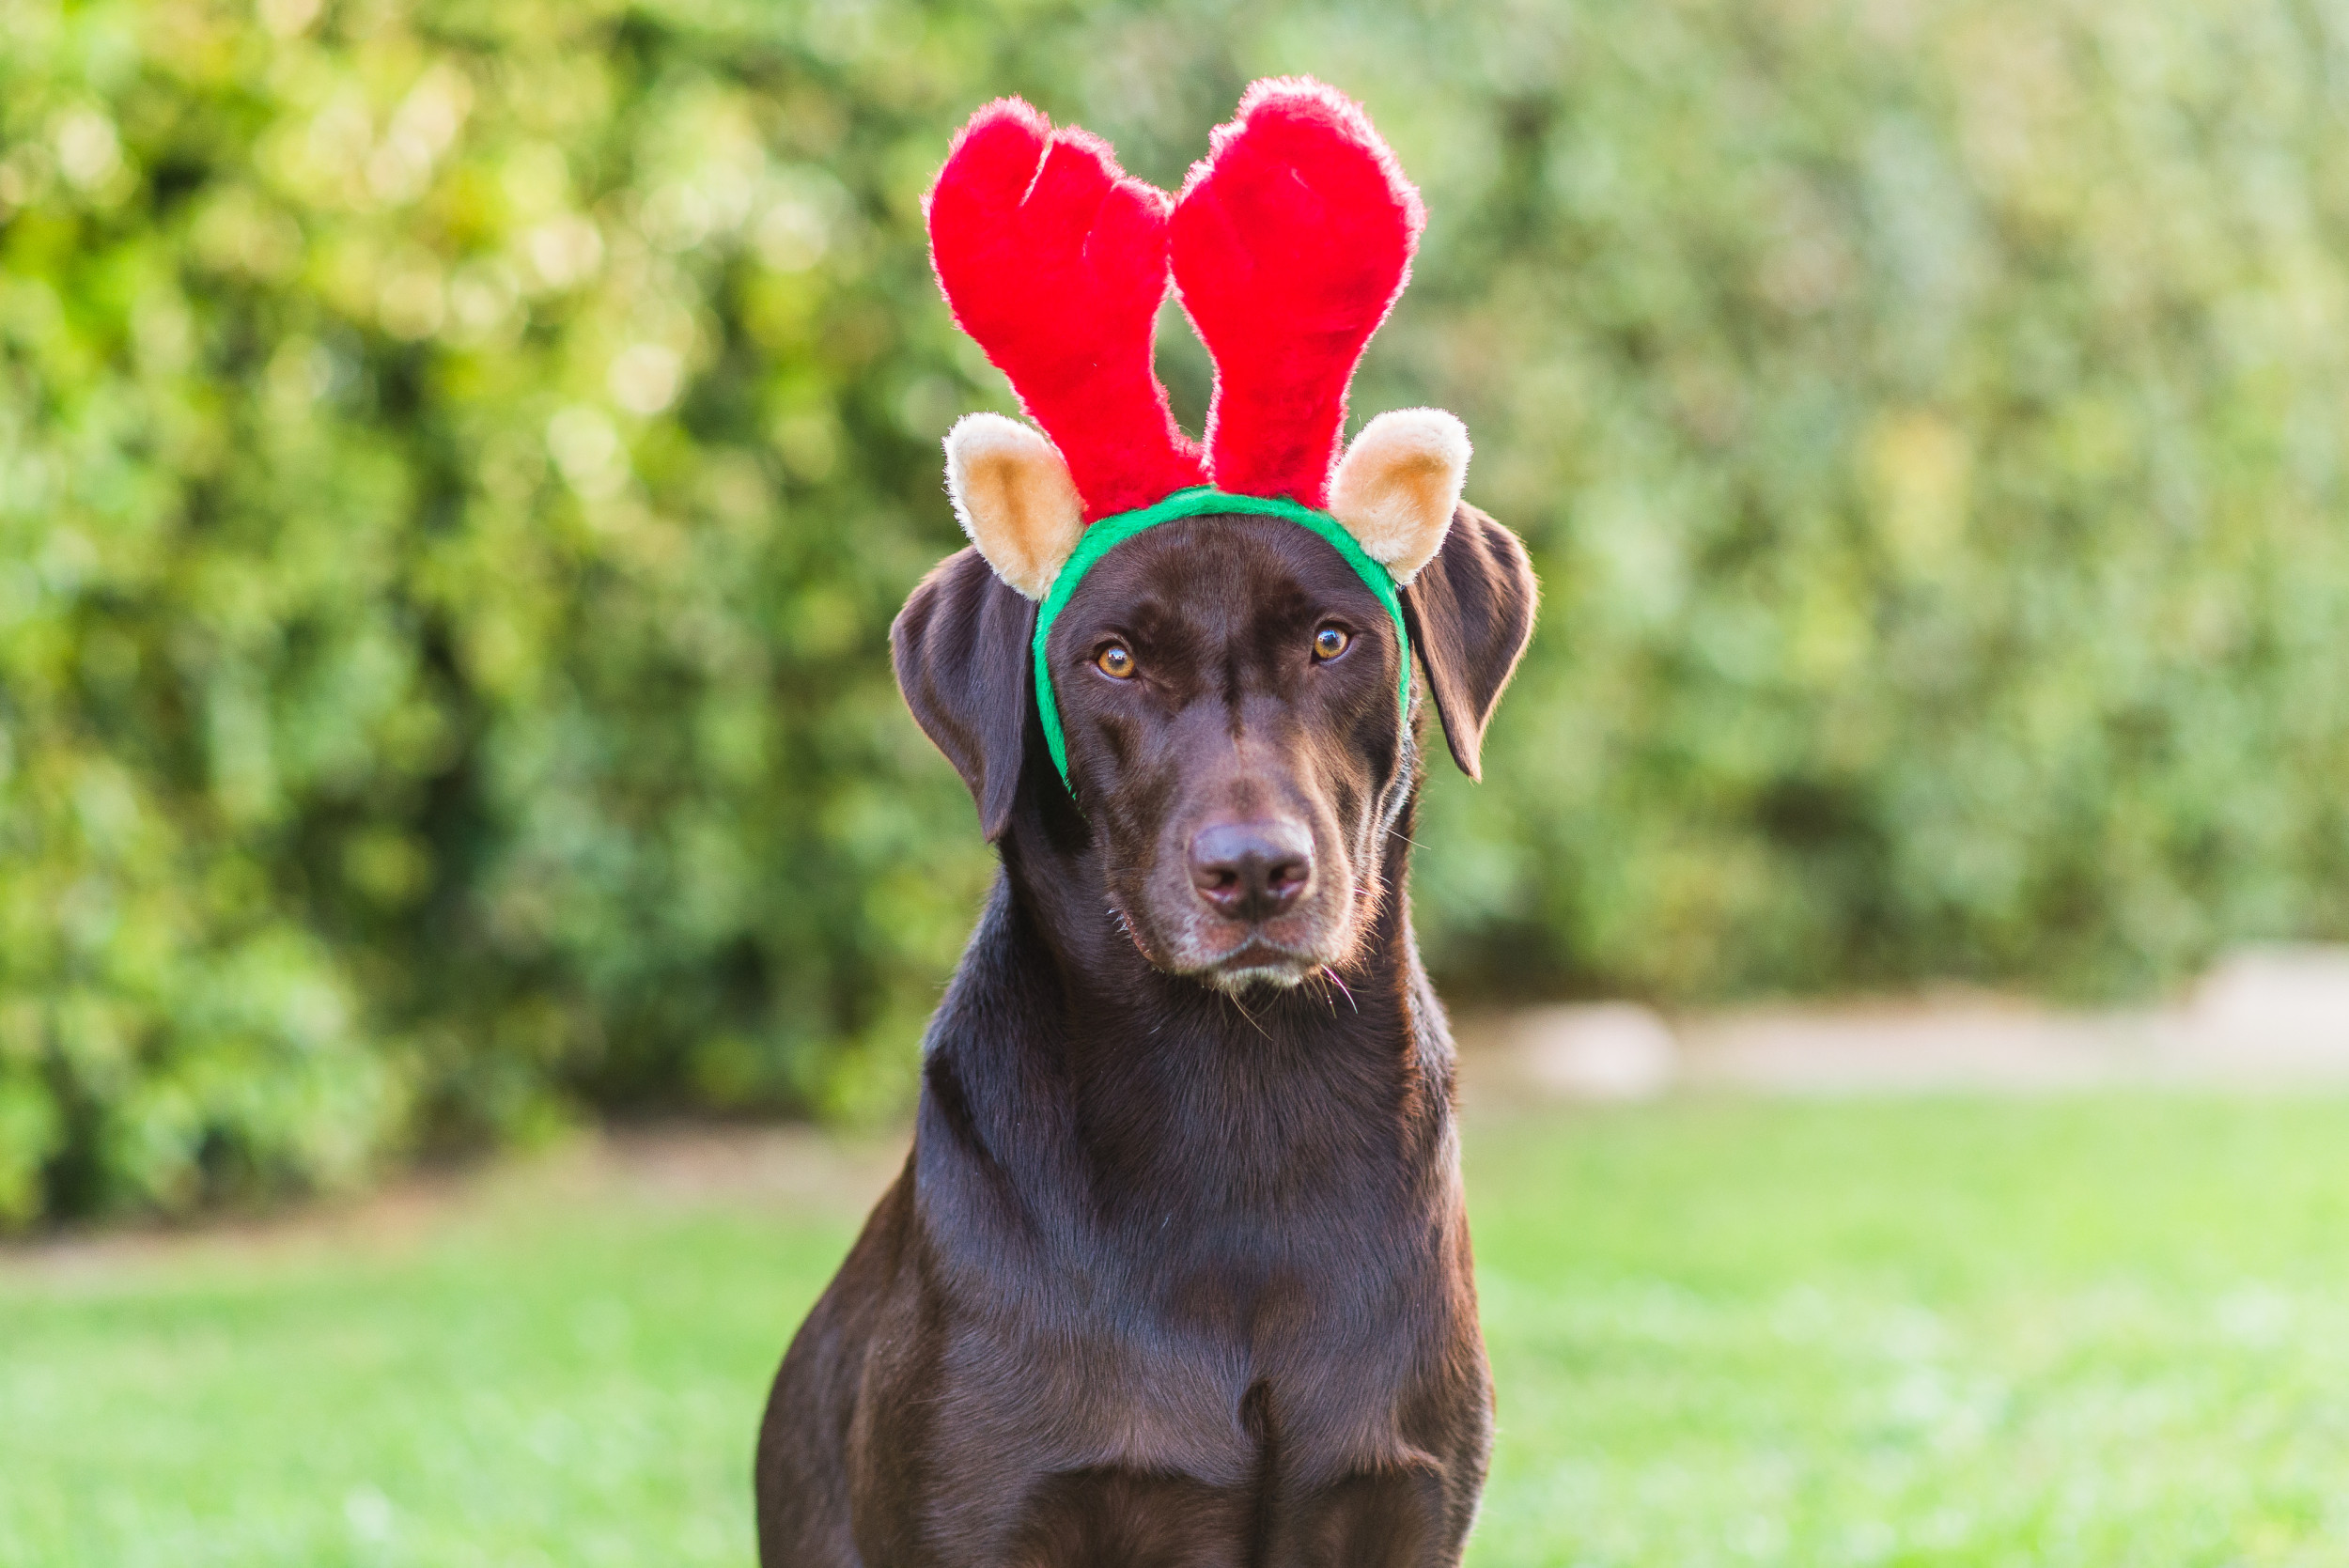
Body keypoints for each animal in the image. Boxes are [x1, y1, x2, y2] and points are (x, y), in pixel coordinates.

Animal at [742, 76, 1532, 1568]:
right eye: (1113, 659)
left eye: (1332, 639)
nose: (1255, 874)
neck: (1242, 1098)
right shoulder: (996, 1511)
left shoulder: (1398, 1498)